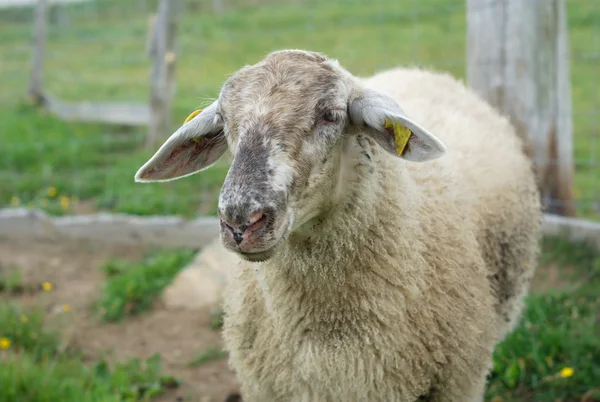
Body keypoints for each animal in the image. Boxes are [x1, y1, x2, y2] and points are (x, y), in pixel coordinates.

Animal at [135, 48, 544, 400]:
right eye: (224, 121)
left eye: (330, 115)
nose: (240, 221)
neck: (332, 337)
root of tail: (421, 70)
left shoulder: (460, 381)